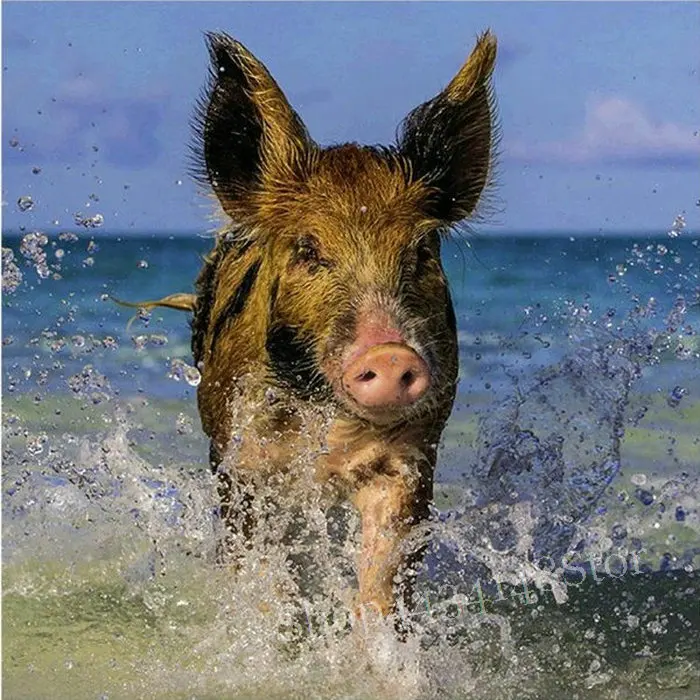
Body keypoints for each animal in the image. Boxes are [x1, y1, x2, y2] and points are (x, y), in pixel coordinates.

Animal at [122, 30, 497, 620]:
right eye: (308, 250)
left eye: (421, 250)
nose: (389, 353)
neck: (329, 429)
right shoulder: (245, 463)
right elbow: (264, 573)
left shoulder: (410, 457)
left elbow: (383, 580)